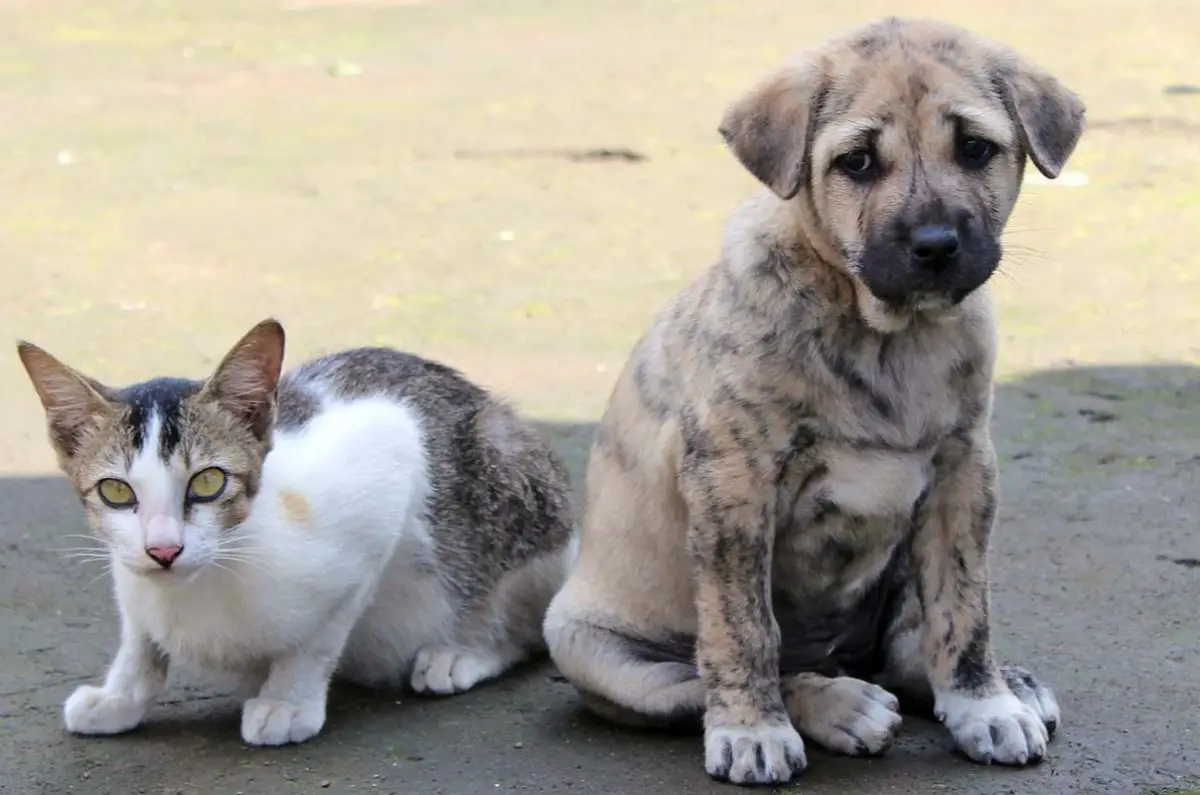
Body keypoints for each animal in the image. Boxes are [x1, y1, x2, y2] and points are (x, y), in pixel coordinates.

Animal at [16, 317, 578, 749]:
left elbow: (321, 635)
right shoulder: (128, 569)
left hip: (514, 486)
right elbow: (139, 635)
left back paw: (465, 650)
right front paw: (120, 695)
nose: (164, 549)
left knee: (527, 623)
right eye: (115, 491)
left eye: (208, 481)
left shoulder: (384, 473)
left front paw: (288, 700)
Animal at [544, 15, 1089, 787]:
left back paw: (1003, 684)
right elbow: (744, 629)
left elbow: (963, 608)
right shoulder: (734, 484)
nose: (934, 245)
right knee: (714, 676)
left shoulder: (963, 472)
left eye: (976, 148)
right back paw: (838, 705)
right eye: (856, 162)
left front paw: (984, 704)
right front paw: (753, 729)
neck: (886, 335)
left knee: (907, 646)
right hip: (593, 647)